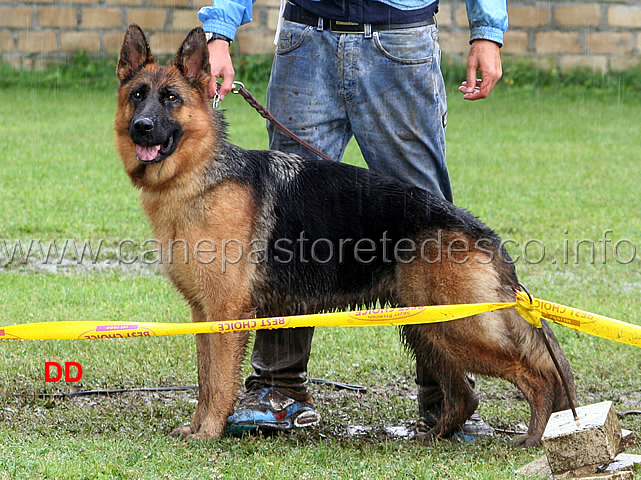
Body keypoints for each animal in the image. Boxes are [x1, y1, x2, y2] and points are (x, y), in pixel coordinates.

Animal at [115, 25, 576, 446]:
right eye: (138, 95)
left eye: (171, 99)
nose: (142, 127)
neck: (198, 176)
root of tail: (482, 232)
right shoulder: (204, 315)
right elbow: (205, 379)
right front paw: (197, 428)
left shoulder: (226, 315)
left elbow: (218, 383)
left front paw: (209, 433)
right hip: (428, 329)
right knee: (464, 395)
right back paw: (432, 437)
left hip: (460, 329)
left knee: (538, 376)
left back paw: (533, 437)